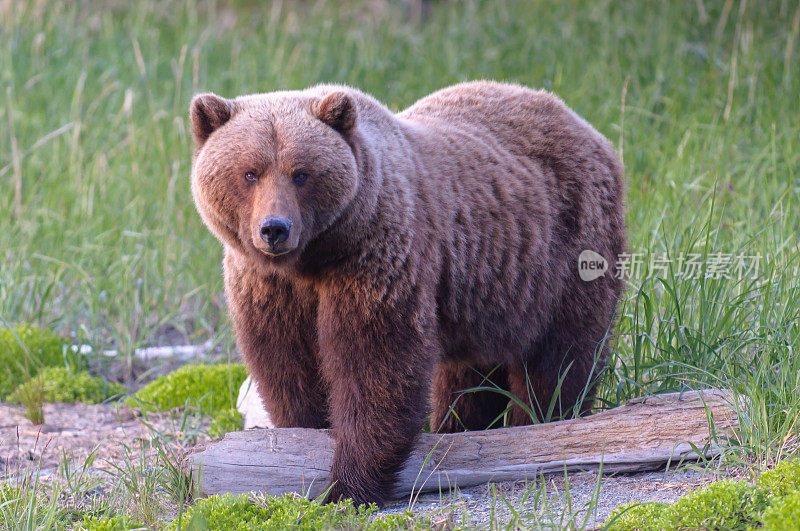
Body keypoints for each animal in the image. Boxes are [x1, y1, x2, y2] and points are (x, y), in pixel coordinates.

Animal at [188, 82, 624, 508]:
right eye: (250, 172)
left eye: (301, 173)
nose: (274, 229)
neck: (313, 259)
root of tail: (586, 126)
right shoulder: (269, 288)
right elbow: (288, 364)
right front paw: (302, 436)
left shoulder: (375, 258)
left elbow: (377, 365)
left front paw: (352, 484)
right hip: (485, 291)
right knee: (469, 372)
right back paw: (461, 426)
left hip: (567, 254)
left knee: (560, 357)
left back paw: (538, 421)